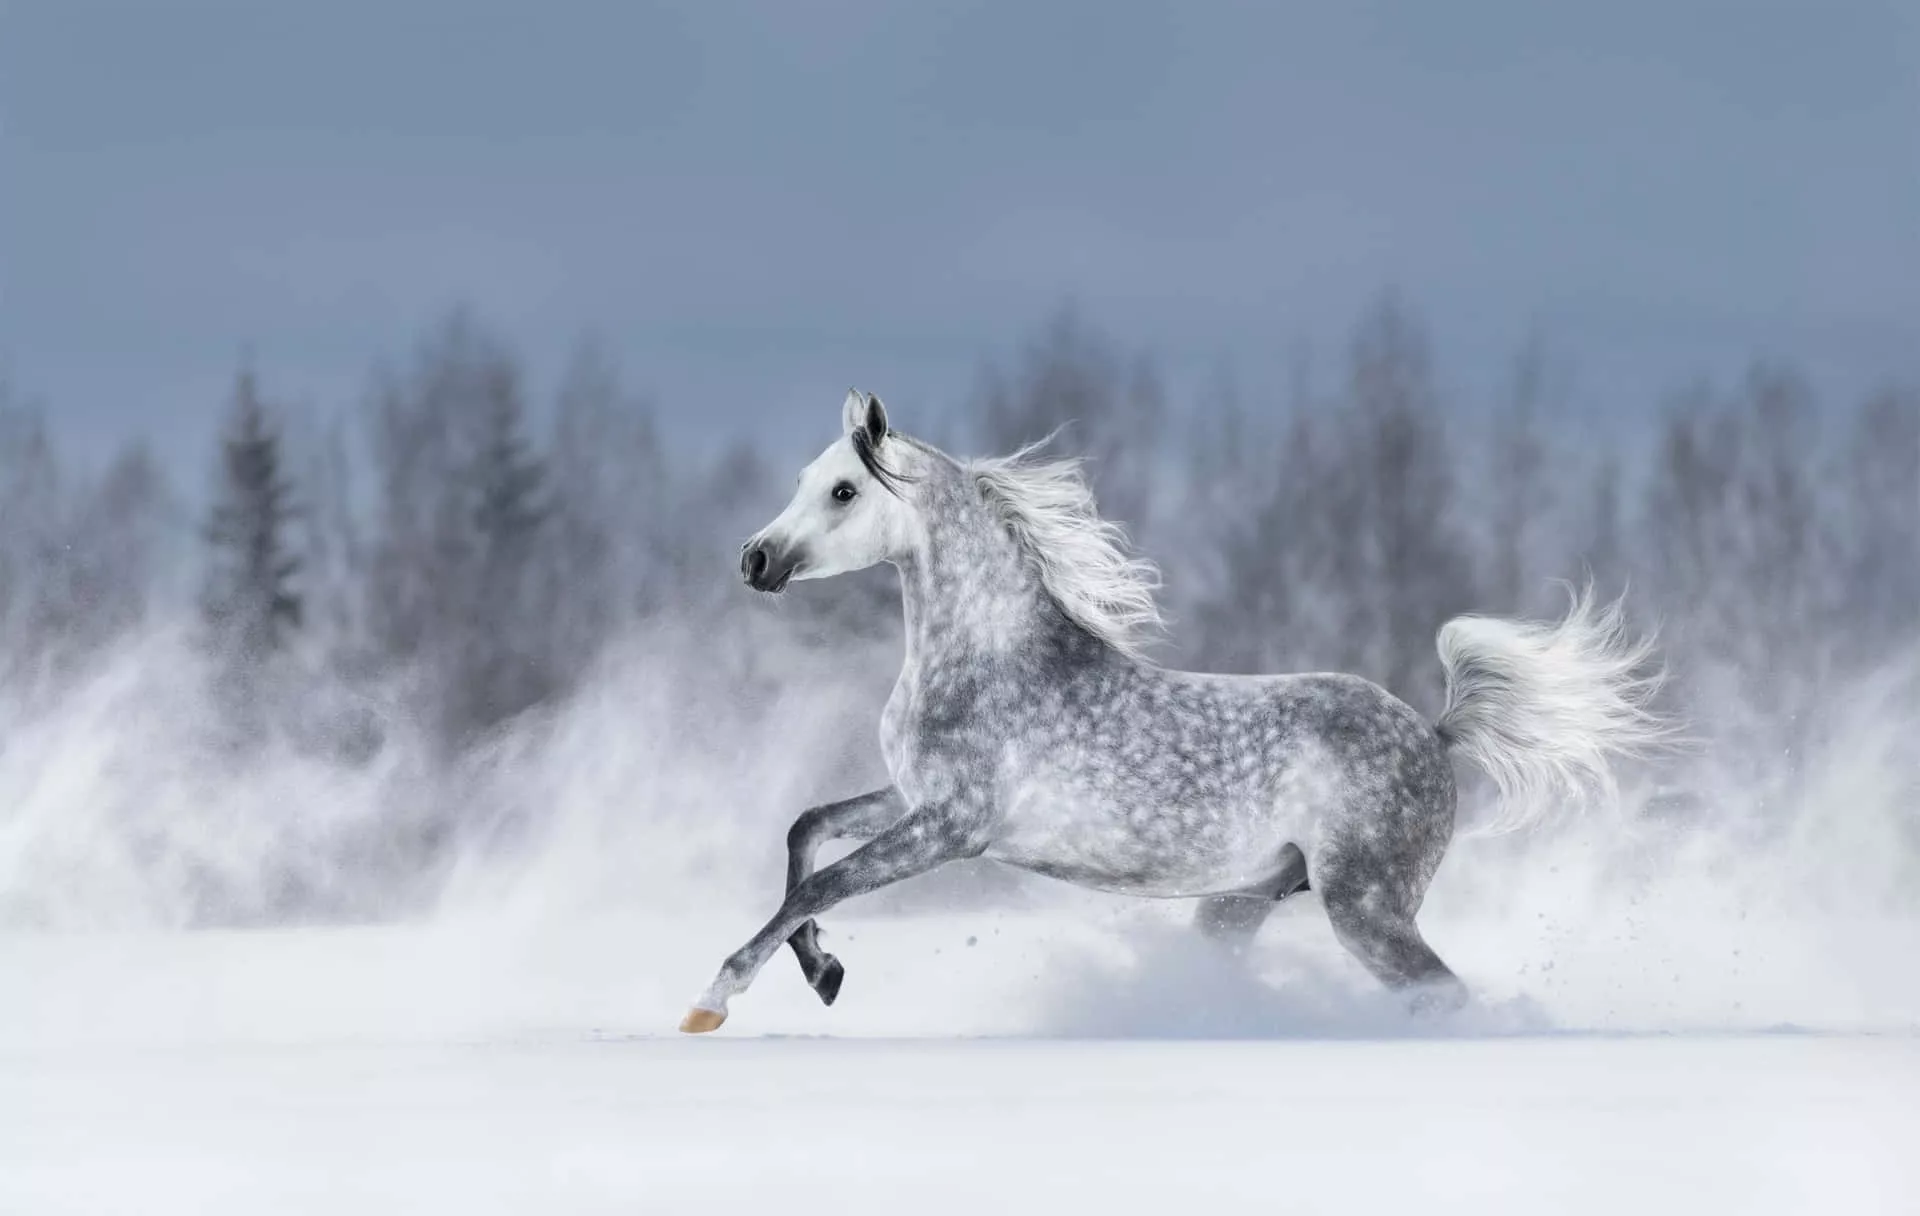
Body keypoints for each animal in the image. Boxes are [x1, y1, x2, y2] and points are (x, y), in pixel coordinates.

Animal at [680, 390, 1668, 1033]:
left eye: (844, 492)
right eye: (806, 479)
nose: (753, 559)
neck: (985, 658)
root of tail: (1434, 730)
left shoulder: (951, 827)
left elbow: (820, 881)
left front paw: (712, 1000)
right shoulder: (909, 798)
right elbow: (806, 833)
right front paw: (825, 973)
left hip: (1367, 908)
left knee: (1444, 996)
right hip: (1242, 904)